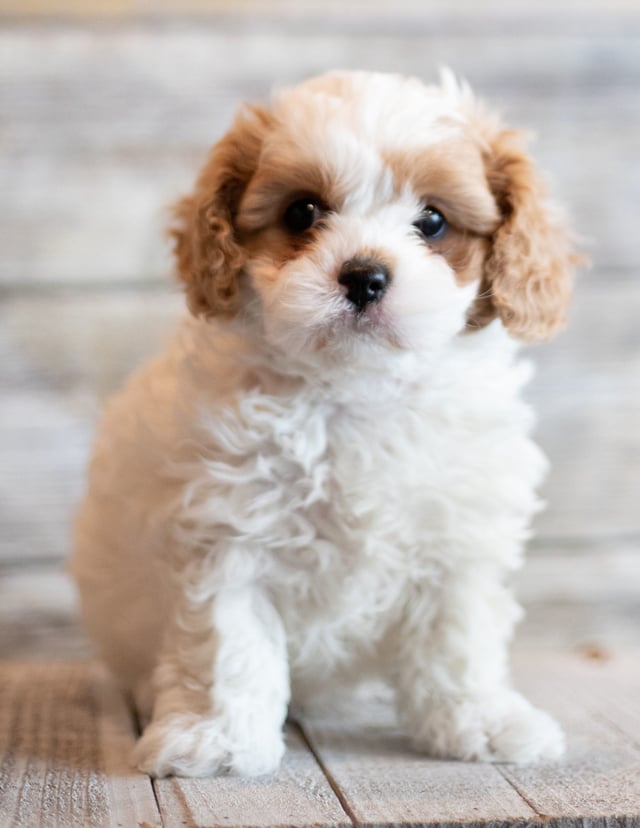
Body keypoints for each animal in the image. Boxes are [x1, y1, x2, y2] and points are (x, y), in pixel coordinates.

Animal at [72, 69, 576, 776]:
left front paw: (481, 721)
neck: (355, 389)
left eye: (433, 220)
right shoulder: (228, 531)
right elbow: (230, 643)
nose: (364, 276)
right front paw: (218, 739)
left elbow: (458, 639)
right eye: (302, 212)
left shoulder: (456, 536)